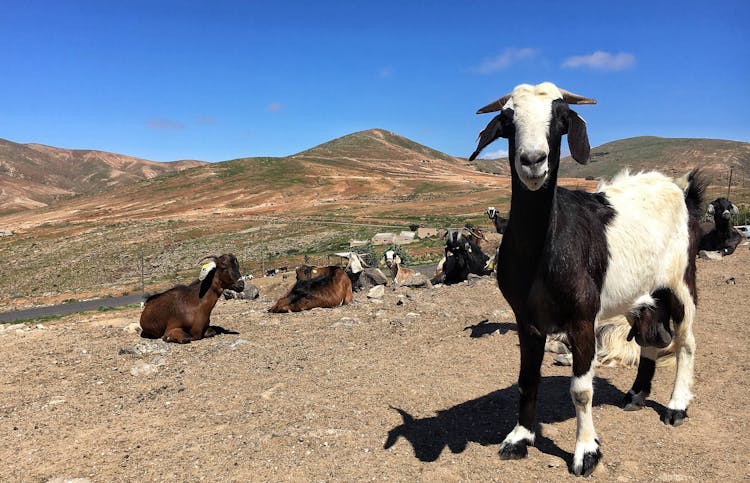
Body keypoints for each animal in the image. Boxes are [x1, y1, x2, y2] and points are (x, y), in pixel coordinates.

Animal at [470, 82, 712, 476]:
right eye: (508, 120)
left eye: (561, 119)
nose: (533, 161)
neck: (545, 247)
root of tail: (682, 190)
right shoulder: (526, 318)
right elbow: (526, 379)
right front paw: (520, 438)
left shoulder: (582, 319)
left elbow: (581, 391)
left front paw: (586, 452)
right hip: (640, 293)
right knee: (649, 336)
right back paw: (636, 394)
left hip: (680, 281)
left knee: (686, 341)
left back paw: (676, 406)